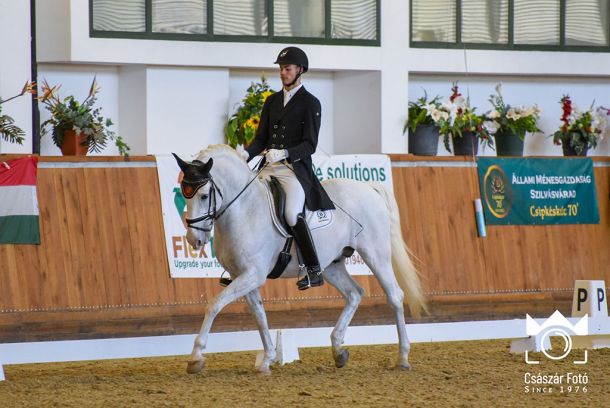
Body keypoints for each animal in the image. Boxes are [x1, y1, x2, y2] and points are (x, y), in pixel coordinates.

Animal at [173, 145, 426, 374]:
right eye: (184, 194)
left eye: (204, 195)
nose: (194, 240)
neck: (245, 210)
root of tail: (368, 188)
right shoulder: (243, 276)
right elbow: (259, 313)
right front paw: (267, 359)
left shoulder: (253, 274)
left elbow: (214, 305)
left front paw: (196, 358)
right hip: (331, 265)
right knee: (354, 293)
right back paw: (339, 350)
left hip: (376, 254)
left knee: (395, 296)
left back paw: (402, 358)